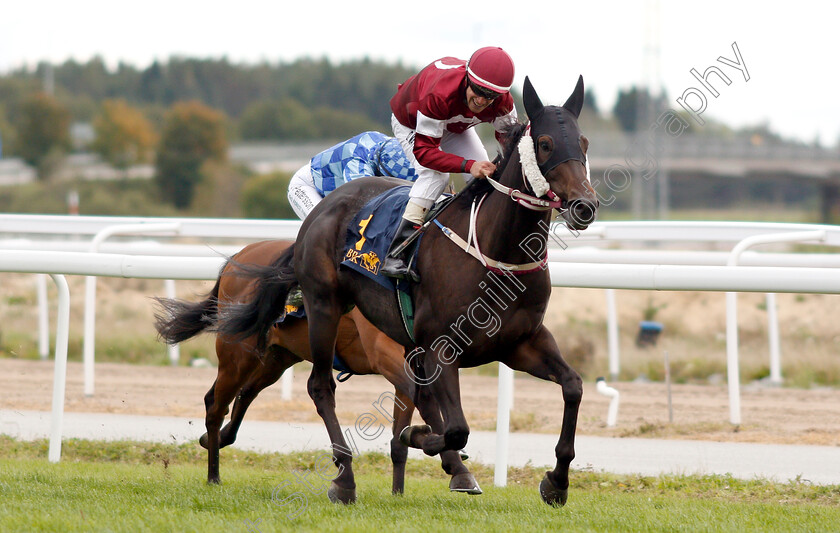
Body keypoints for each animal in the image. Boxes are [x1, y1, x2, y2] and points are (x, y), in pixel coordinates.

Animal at [153, 239, 480, 492]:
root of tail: (239, 256)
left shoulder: (411, 363)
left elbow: (400, 437)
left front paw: (400, 489)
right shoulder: (386, 355)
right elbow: (425, 405)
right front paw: (455, 465)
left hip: (277, 357)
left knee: (245, 395)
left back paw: (218, 439)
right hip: (238, 352)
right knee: (215, 403)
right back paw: (213, 476)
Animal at [217, 77, 596, 504]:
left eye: (583, 142)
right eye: (545, 143)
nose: (585, 205)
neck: (497, 252)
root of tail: (321, 210)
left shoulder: (521, 342)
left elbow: (573, 387)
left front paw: (556, 482)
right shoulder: (440, 349)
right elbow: (455, 428)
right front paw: (420, 439)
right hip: (323, 306)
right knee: (320, 387)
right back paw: (344, 478)